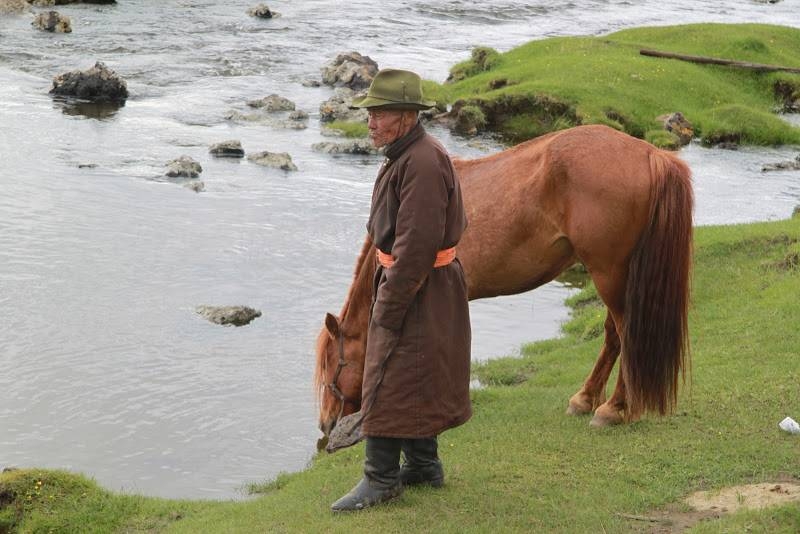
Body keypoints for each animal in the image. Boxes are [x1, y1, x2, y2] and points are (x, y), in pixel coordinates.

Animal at [316, 125, 692, 440]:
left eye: (333, 366)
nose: (326, 424)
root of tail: (652, 154)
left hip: (609, 274)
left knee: (627, 335)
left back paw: (613, 409)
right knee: (614, 336)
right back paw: (585, 399)